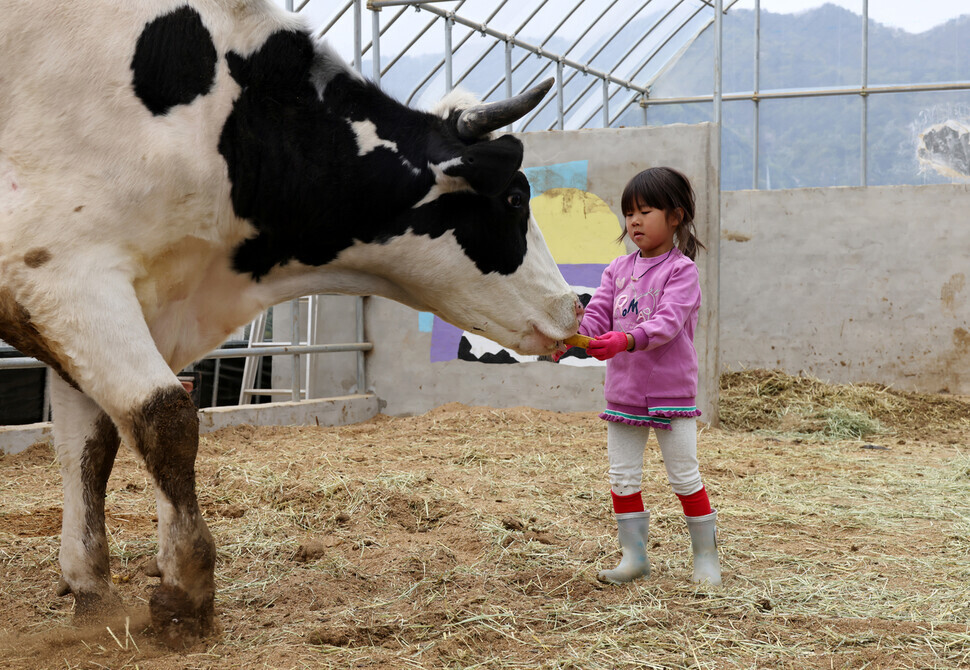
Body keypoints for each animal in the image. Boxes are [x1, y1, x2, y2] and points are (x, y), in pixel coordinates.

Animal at [0, 1, 580, 652]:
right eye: (515, 197)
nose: (575, 303)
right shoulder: (66, 273)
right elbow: (166, 419)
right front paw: (185, 593)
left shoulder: (91, 295)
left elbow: (90, 449)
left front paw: (93, 594)